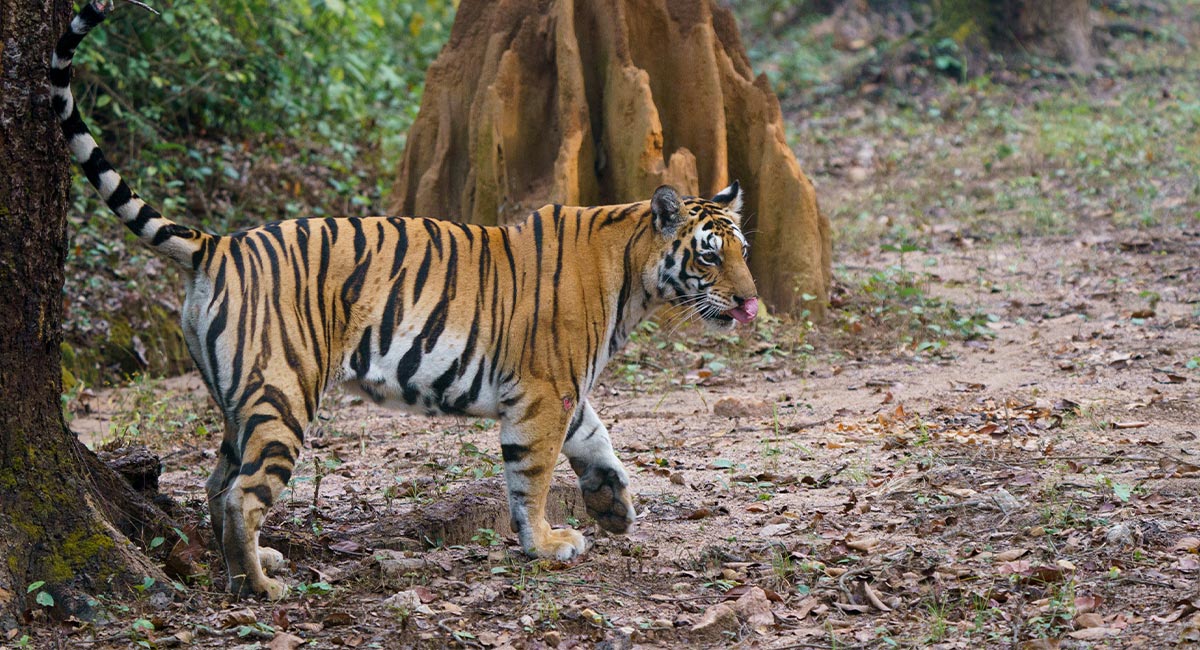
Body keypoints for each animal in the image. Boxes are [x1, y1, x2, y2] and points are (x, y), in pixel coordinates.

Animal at [52, 0, 759, 599]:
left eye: (743, 249)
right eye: (709, 254)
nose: (752, 303)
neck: (633, 272)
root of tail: (219, 244)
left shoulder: (561, 388)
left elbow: (597, 439)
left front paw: (615, 507)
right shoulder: (543, 390)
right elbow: (533, 474)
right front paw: (547, 543)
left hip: (243, 399)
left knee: (215, 480)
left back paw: (255, 564)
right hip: (285, 391)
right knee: (239, 494)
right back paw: (261, 586)